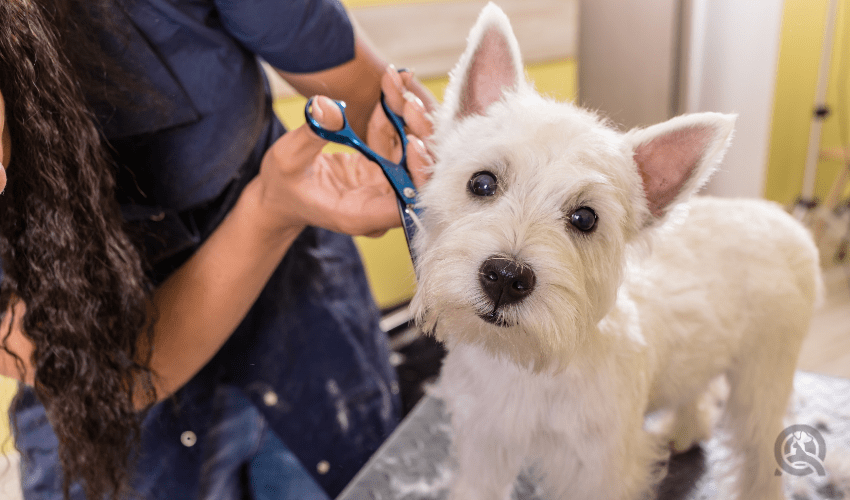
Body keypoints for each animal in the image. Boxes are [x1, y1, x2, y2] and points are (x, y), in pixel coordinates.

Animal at [410, 4, 820, 500]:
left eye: (585, 218)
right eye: (482, 182)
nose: (506, 278)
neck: (525, 362)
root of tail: (784, 219)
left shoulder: (599, 467)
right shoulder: (484, 443)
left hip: (763, 379)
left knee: (761, 452)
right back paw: (684, 429)